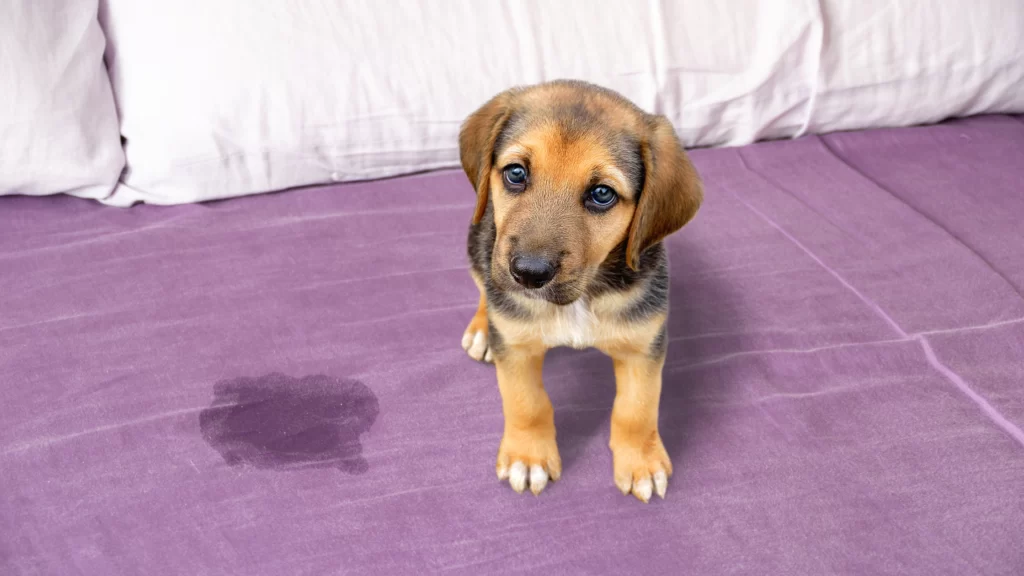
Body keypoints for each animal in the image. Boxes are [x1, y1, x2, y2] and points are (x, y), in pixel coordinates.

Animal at [458, 78, 704, 500]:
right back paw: (482, 329)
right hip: (479, 243)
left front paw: (641, 462)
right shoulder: (517, 348)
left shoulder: (643, 347)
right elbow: (526, 403)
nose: (529, 274)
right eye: (516, 173)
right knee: (482, 287)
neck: (582, 297)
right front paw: (529, 457)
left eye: (602, 194)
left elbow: (637, 410)